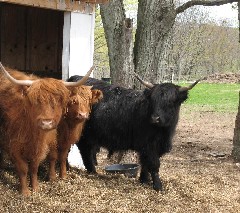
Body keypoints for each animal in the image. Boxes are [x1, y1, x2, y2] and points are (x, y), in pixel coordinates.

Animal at [68, 74, 201, 191]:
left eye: (170, 102)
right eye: (153, 100)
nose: (155, 118)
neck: (164, 132)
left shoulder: (151, 147)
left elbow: (145, 164)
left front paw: (144, 180)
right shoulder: (149, 146)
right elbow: (154, 164)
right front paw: (158, 186)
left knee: (84, 151)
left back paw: (90, 172)